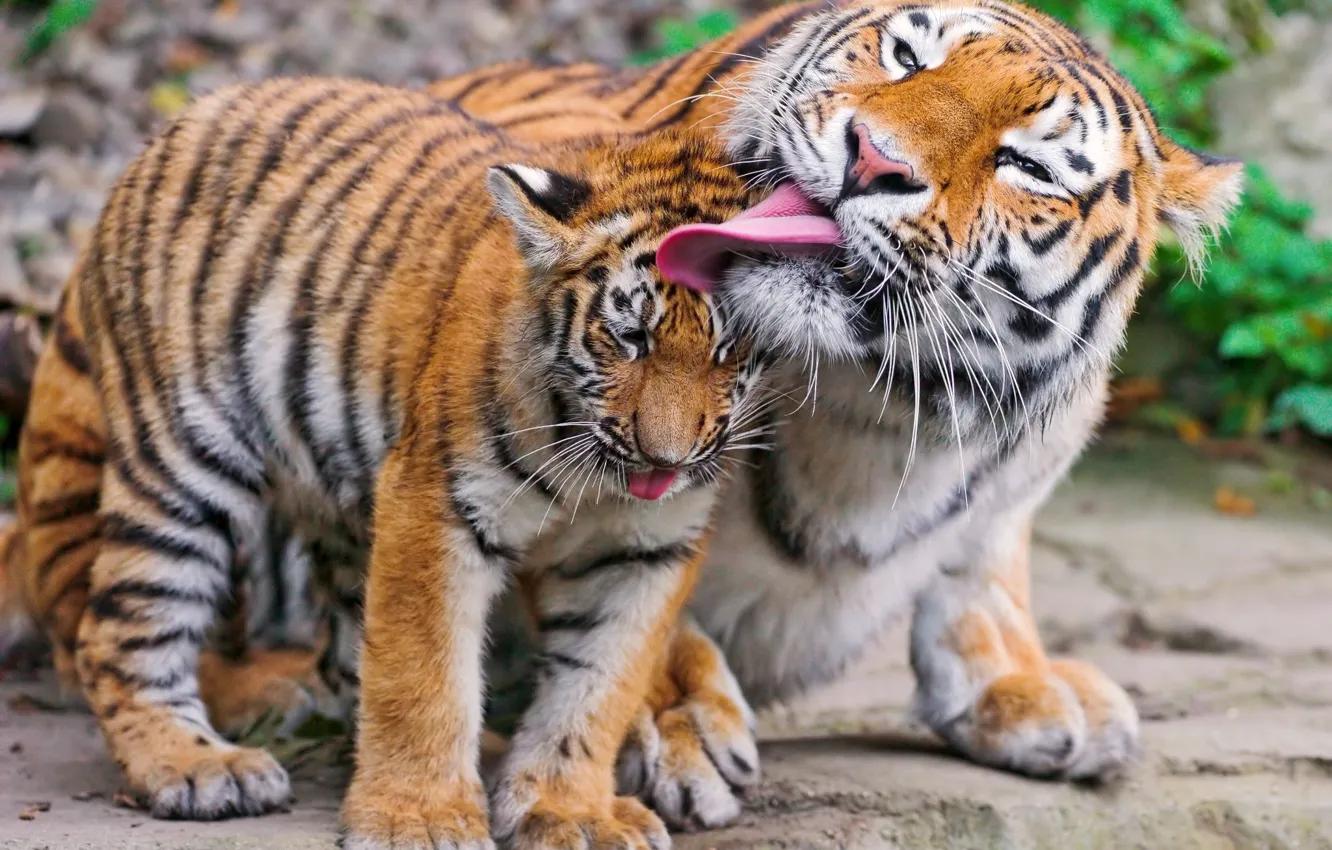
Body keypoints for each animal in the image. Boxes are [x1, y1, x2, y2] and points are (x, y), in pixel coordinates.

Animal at [0, 75, 807, 850]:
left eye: (730, 349)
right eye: (630, 338)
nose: (664, 457)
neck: (596, 474)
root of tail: (186, 116)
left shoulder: (645, 549)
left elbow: (597, 688)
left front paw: (569, 810)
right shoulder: (438, 502)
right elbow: (423, 674)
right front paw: (417, 820)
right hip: (181, 462)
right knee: (117, 629)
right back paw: (195, 766)